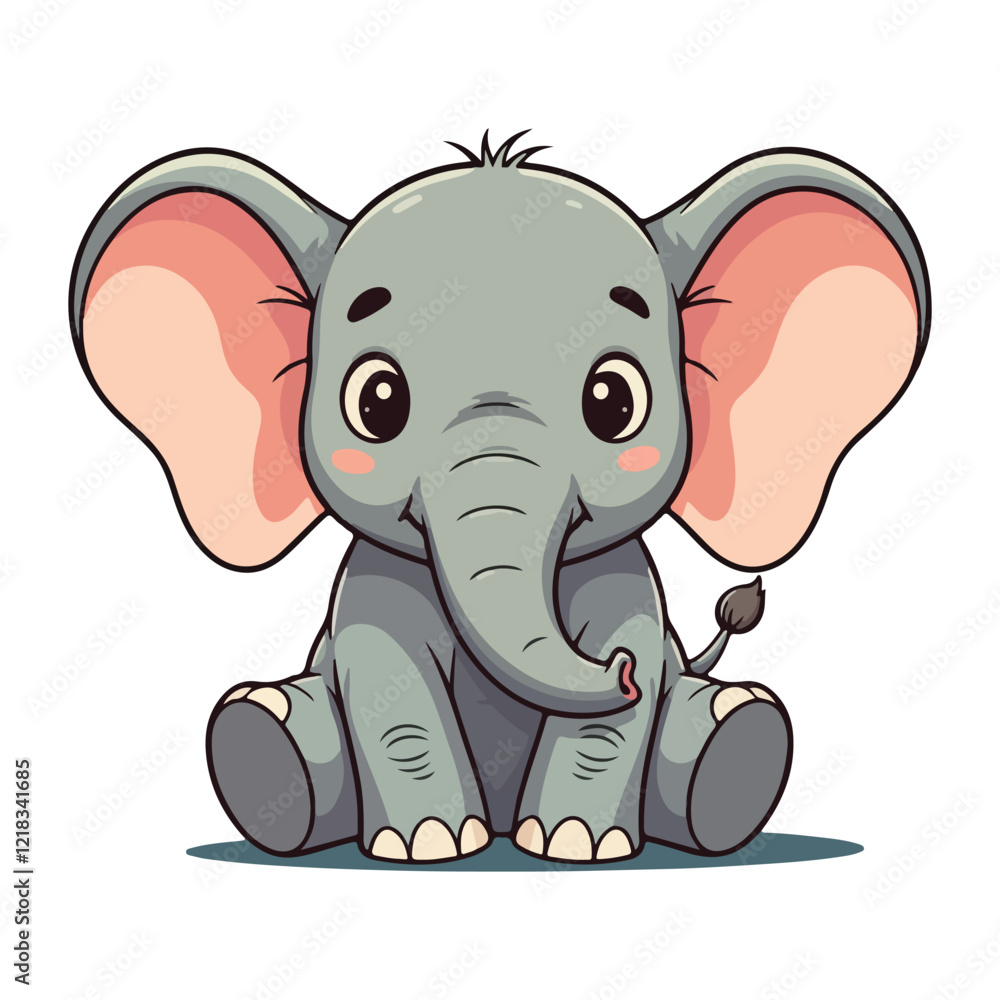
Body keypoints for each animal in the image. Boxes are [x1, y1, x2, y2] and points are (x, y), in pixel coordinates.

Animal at [70, 132, 928, 863]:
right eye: (376, 401)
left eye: (614, 401)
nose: (618, 669)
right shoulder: (375, 584)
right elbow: (389, 683)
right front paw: (430, 847)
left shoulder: (624, 580)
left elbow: (618, 704)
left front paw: (577, 845)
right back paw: (262, 734)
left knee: (724, 721)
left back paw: (735, 735)